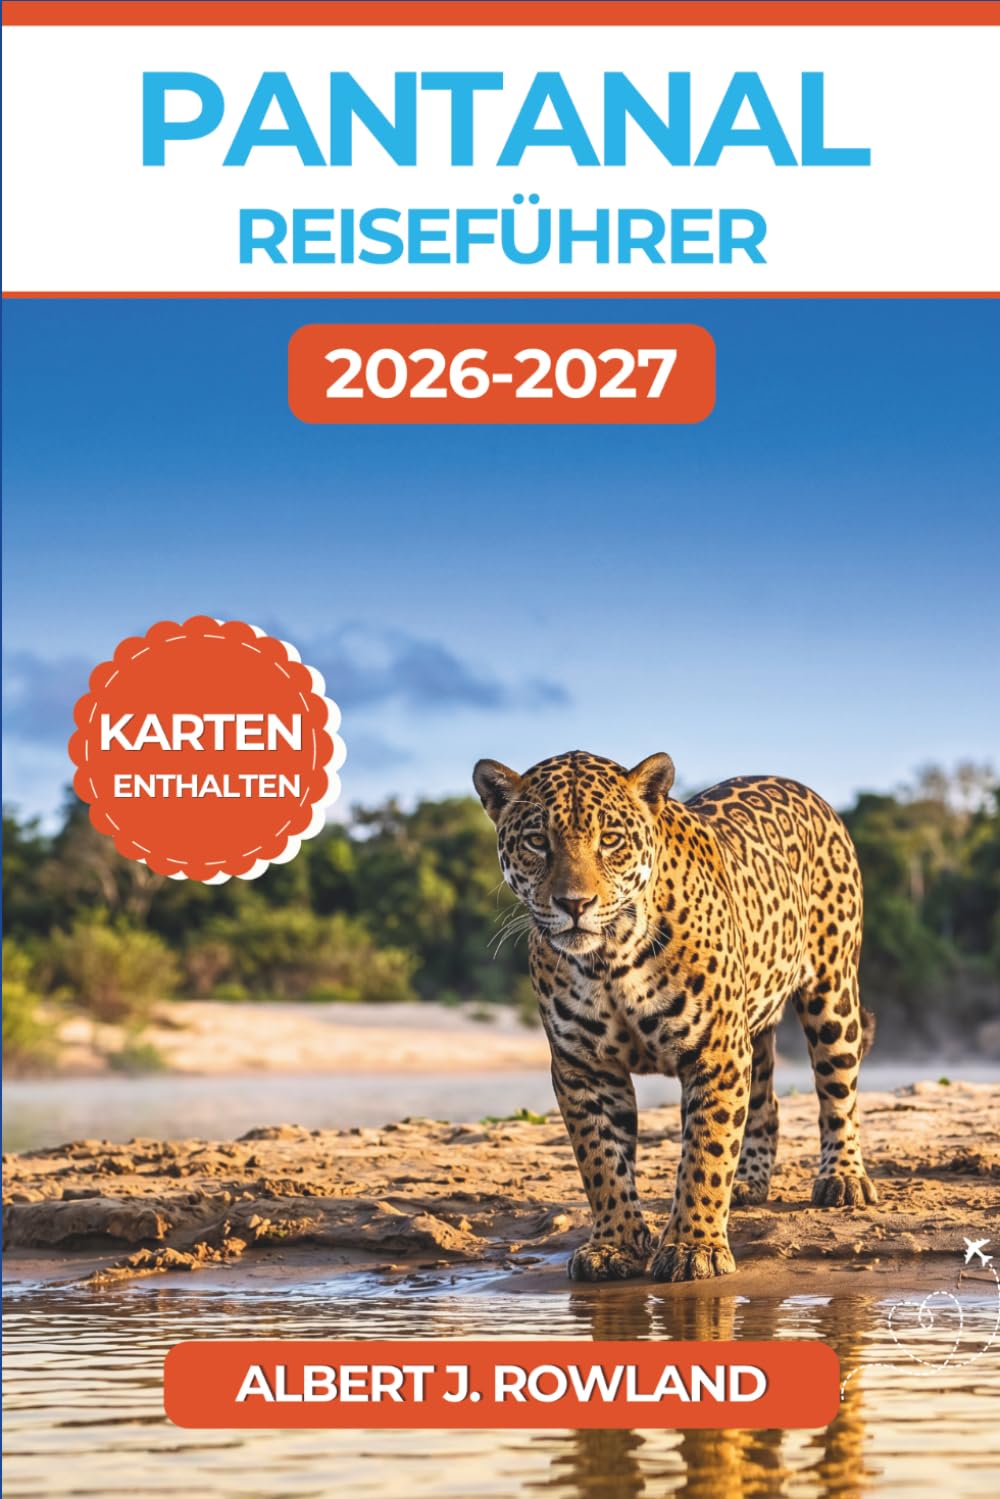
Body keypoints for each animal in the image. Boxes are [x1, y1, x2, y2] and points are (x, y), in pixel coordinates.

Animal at [473, 750, 877, 1283]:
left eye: (610, 840)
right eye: (538, 841)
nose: (575, 904)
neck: (609, 960)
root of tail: (800, 787)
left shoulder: (716, 1052)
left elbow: (706, 1153)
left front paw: (693, 1247)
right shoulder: (583, 1066)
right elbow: (601, 1161)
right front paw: (614, 1245)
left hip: (831, 992)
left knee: (839, 1091)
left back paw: (844, 1178)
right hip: (754, 1023)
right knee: (766, 1103)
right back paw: (749, 1182)